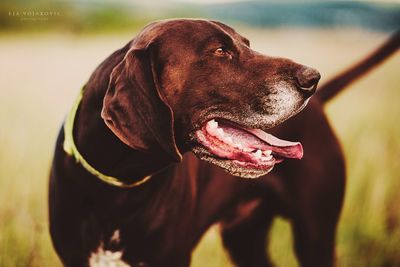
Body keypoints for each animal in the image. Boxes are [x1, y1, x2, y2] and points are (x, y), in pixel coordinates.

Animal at [49, 19, 400, 267]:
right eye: (220, 51)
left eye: (247, 44)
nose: (312, 78)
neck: (118, 188)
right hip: (245, 239)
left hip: (315, 235)